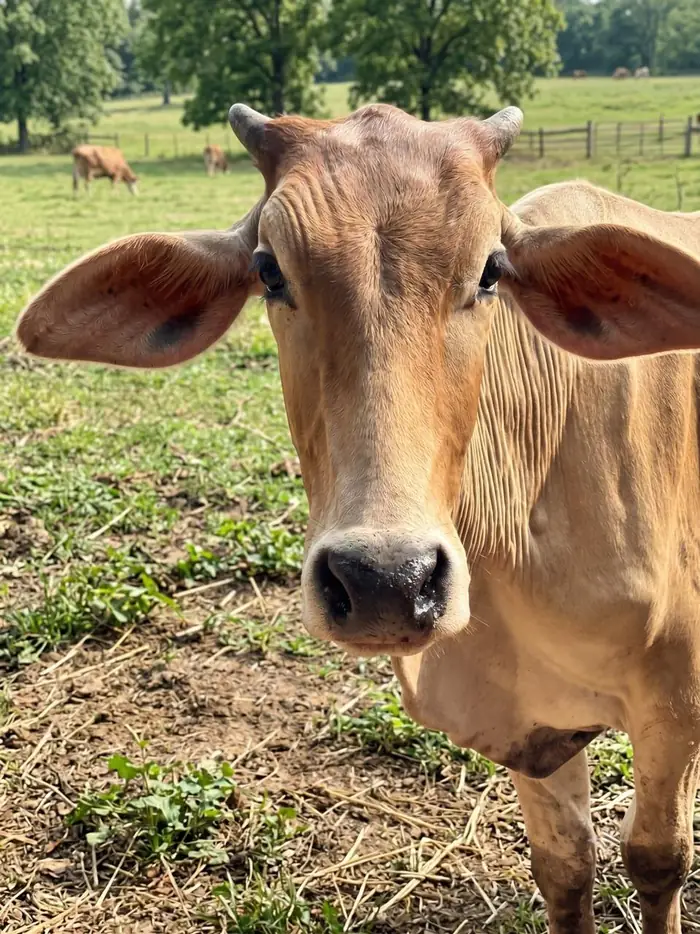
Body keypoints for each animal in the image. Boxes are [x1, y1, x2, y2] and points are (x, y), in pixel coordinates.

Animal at [17, 103, 700, 934]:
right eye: (269, 269)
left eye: (491, 270)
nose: (384, 581)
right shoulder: (531, 724)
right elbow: (565, 868)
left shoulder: (674, 702)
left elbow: (656, 860)